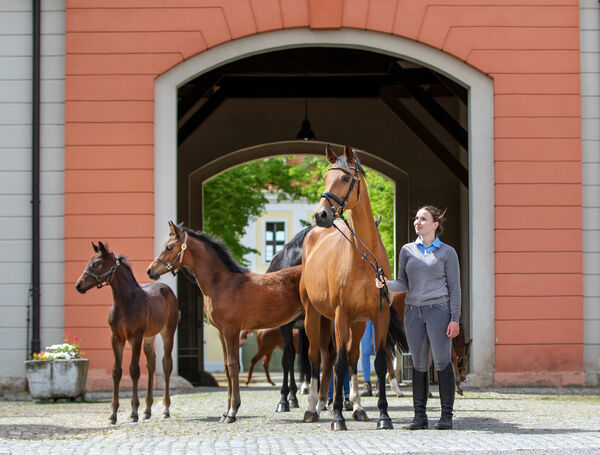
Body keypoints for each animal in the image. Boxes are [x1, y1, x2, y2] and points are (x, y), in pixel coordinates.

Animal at [75, 244, 178, 426]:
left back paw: (165, 409)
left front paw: (134, 412)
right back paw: (147, 410)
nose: (78, 285)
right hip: (149, 337)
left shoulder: (135, 337)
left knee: (166, 364)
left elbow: (134, 370)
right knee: (151, 363)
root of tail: (167, 289)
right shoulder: (116, 338)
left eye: (96, 264)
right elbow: (116, 371)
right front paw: (113, 415)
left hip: (167, 332)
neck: (125, 303)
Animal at [146, 224, 304, 424]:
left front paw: (232, 412)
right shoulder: (222, 332)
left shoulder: (231, 330)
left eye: (169, 247)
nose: (150, 271)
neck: (222, 284)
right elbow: (227, 368)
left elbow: (233, 365)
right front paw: (226, 411)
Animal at [300, 145, 408, 432]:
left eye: (346, 178)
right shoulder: (341, 316)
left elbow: (377, 362)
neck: (362, 259)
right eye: (325, 178)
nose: (321, 214)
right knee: (317, 358)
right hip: (314, 316)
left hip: (356, 323)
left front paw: (383, 415)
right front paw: (337, 416)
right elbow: (337, 364)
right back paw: (312, 408)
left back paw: (357, 407)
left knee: (349, 356)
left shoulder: (378, 316)